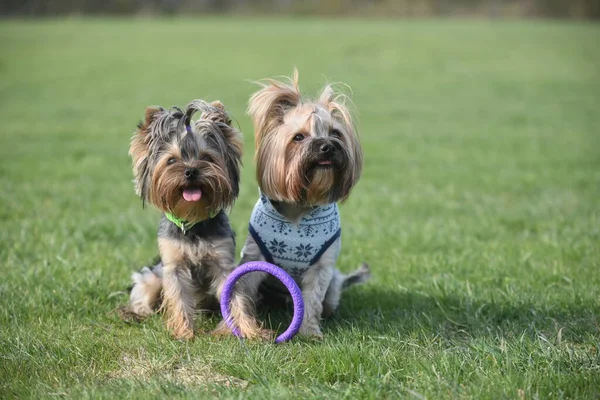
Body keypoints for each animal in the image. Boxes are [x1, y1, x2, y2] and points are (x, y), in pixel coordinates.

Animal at [239, 72, 370, 338]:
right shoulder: (254, 257)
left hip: (333, 287)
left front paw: (309, 331)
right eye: (298, 137)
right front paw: (246, 326)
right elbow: (244, 289)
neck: (300, 206)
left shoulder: (321, 268)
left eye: (336, 133)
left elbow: (312, 298)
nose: (327, 146)